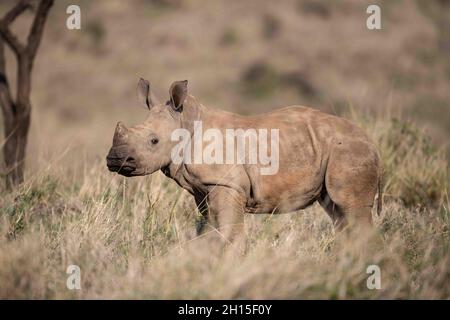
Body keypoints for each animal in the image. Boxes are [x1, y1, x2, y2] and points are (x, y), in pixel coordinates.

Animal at [107, 79, 382, 241]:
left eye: (154, 141)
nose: (113, 160)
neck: (186, 122)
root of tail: (372, 142)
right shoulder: (204, 187)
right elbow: (210, 226)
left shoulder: (226, 183)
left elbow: (229, 230)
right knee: (338, 212)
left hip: (349, 151)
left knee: (350, 207)